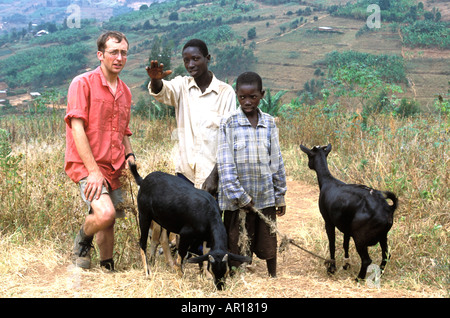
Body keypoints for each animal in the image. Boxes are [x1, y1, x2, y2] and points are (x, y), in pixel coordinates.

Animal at [298, 144, 398, 280]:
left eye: (309, 156)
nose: (309, 165)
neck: (328, 181)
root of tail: (388, 209)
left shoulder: (328, 221)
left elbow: (332, 243)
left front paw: (332, 268)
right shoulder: (346, 226)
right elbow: (345, 244)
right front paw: (346, 264)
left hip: (360, 236)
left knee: (367, 260)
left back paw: (358, 279)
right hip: (383, 235)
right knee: (386, 255)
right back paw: (378, 275)